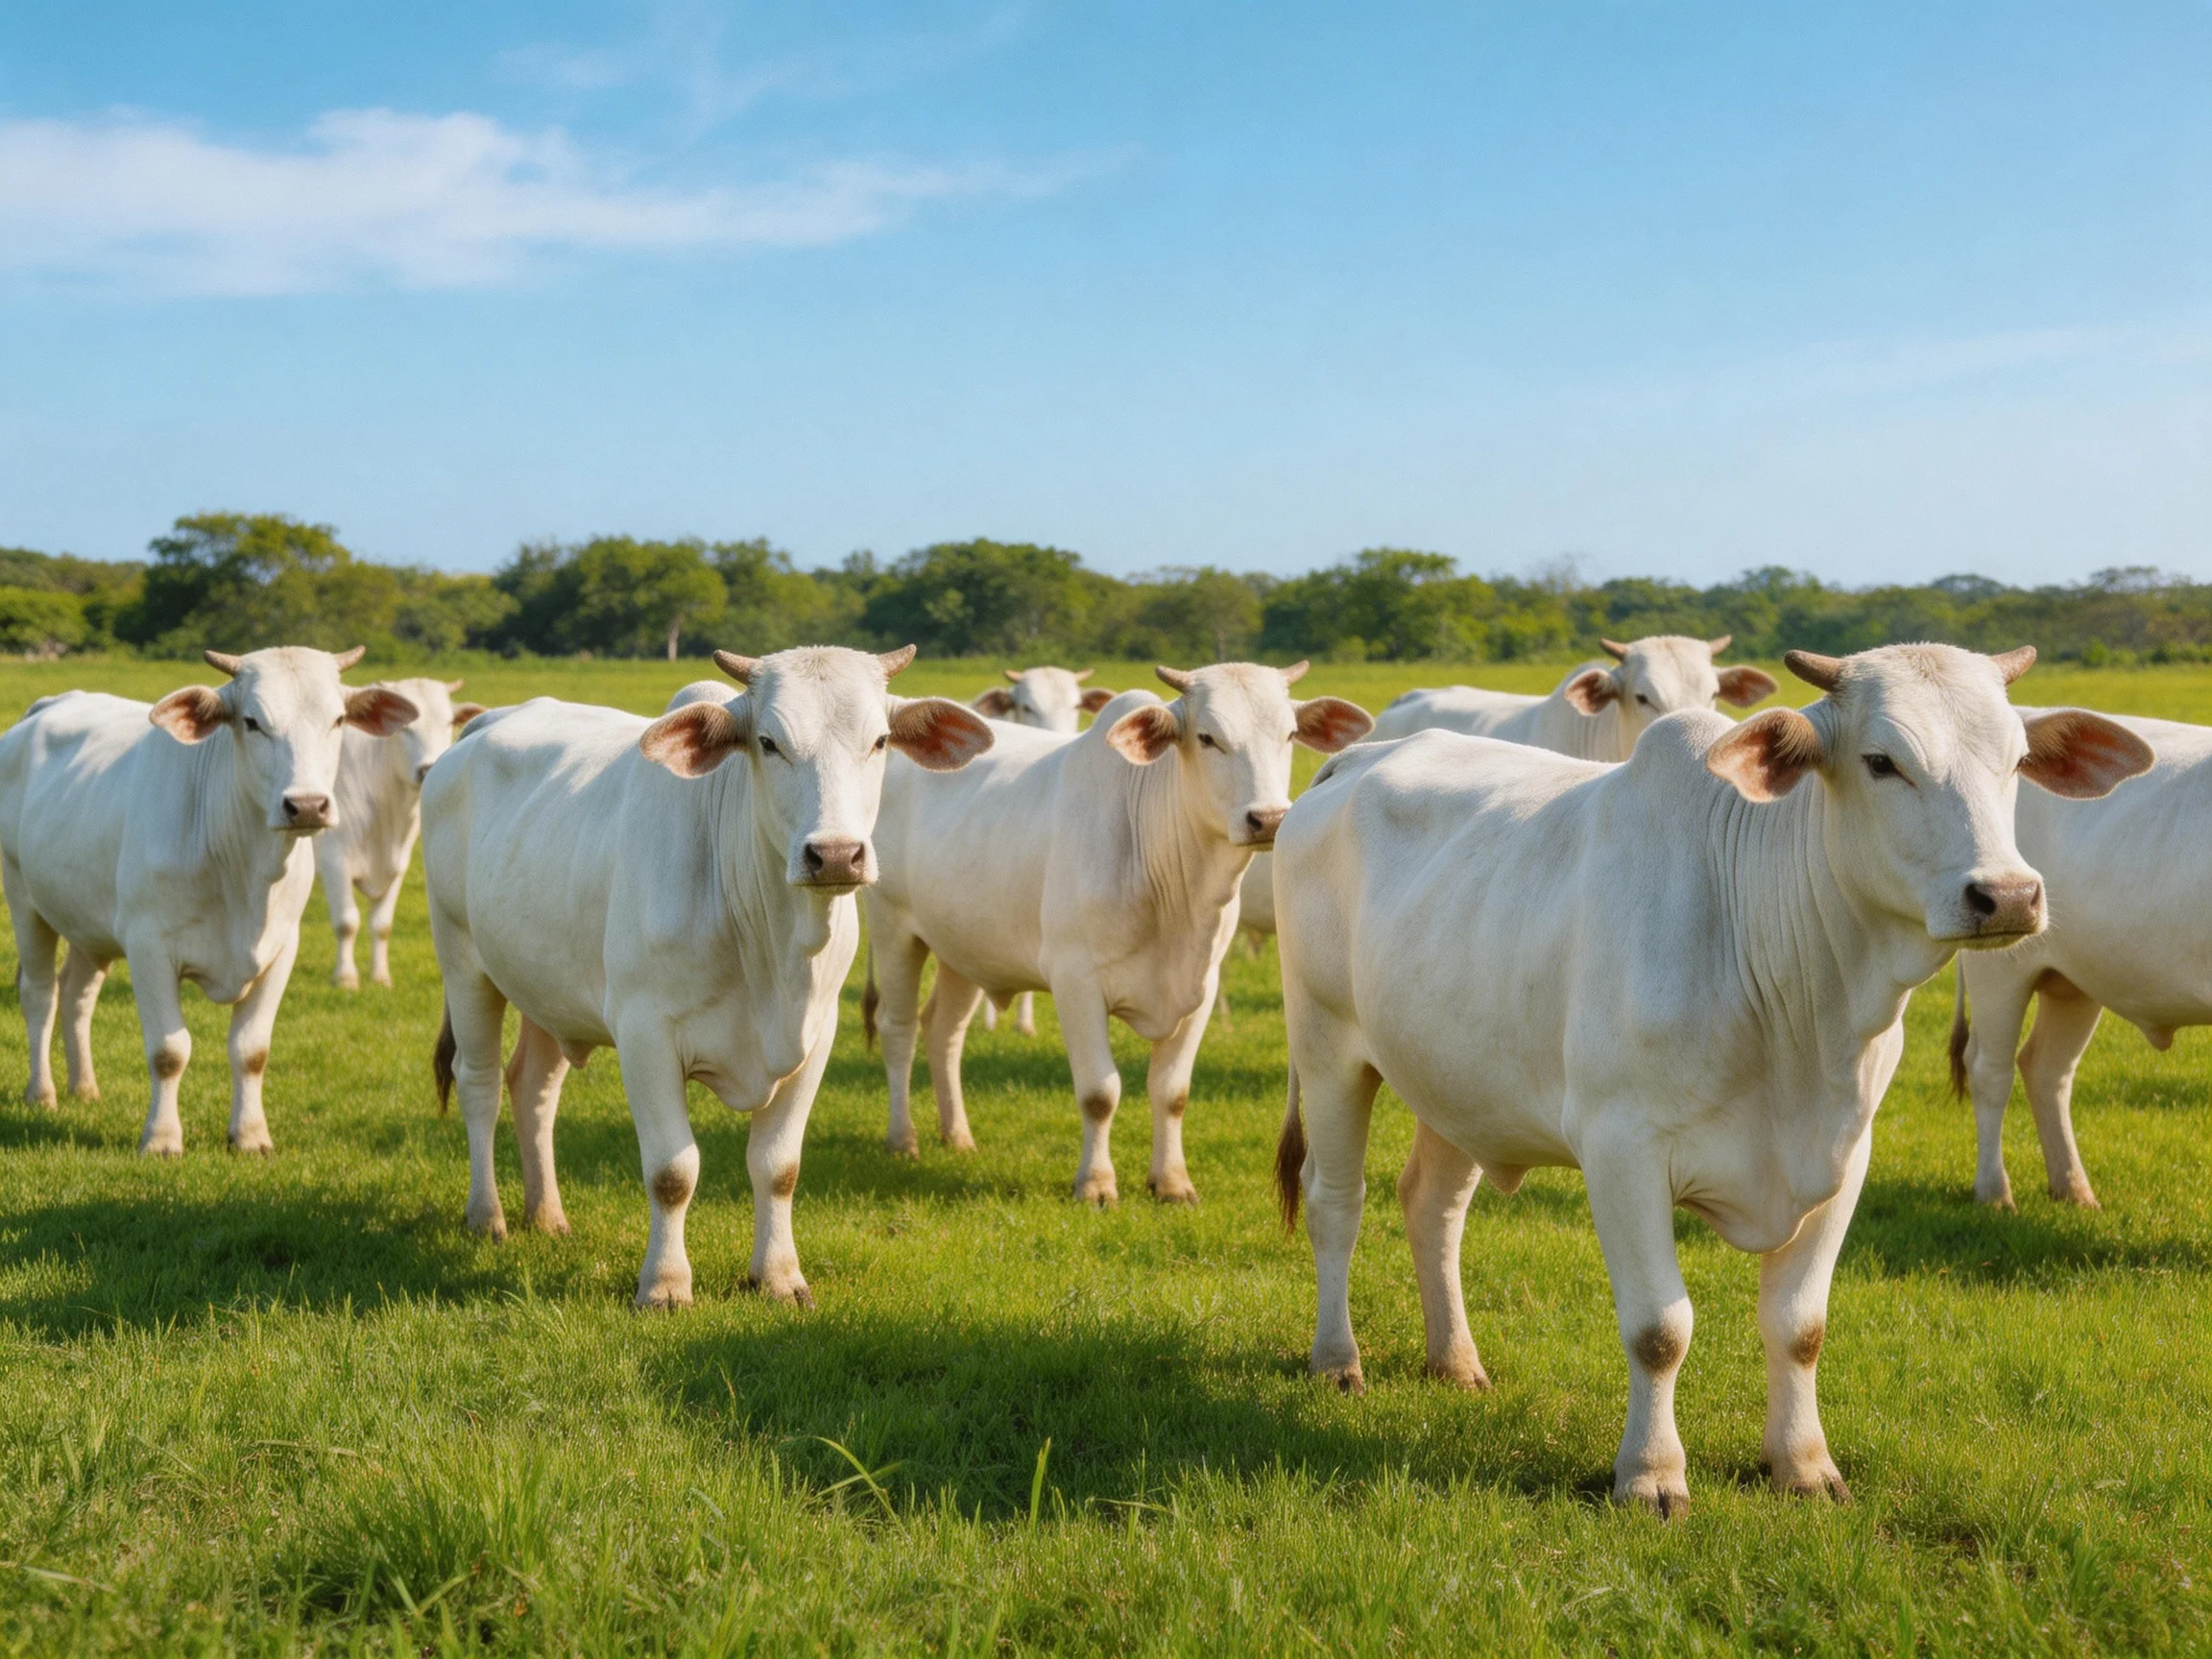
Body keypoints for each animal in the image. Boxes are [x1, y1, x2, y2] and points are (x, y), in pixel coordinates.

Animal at [0, 647, 417, 1154]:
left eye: (337, 719)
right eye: (252, 721)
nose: (307, 805)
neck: (244, 877)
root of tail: (50, 705)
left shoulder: (282, 948)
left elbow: (252, 1050)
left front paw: (251, 1135)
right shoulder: (148, 946)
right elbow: (168, 1051)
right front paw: (161, 1139)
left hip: (89, 924)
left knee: (78, 993)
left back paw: (85, 1087)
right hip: (23, 899)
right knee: (40, 994)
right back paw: (42, 1092)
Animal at [315, 677, 486, 989]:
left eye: (448, 722)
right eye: (405, 728)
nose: (428, 768)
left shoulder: (398, 865)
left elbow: (382, 925)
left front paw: (380, 976)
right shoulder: (335, 860)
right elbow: (346, 922)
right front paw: (346, 978)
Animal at [422, 646, 991, 1310]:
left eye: (879, 741)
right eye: (768, 742)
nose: (835, 855)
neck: (771, 950)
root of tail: (484, 725)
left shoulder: (816, 1038)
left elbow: (778, 1166)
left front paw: (779, 1276)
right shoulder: (645, 1035)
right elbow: (673, 1171)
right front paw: (665, 1285)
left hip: (548, 987)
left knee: (533, 1088)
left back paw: (548, 1215)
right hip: (462, 961)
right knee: (479, 1083)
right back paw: (487, 1216)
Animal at [1951, 710, 2212, 1209]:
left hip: (2074, 981)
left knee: (2046, 1068)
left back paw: (2074, 1190)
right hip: (1998, 966)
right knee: (1989, 1069)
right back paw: (1995, 1193)